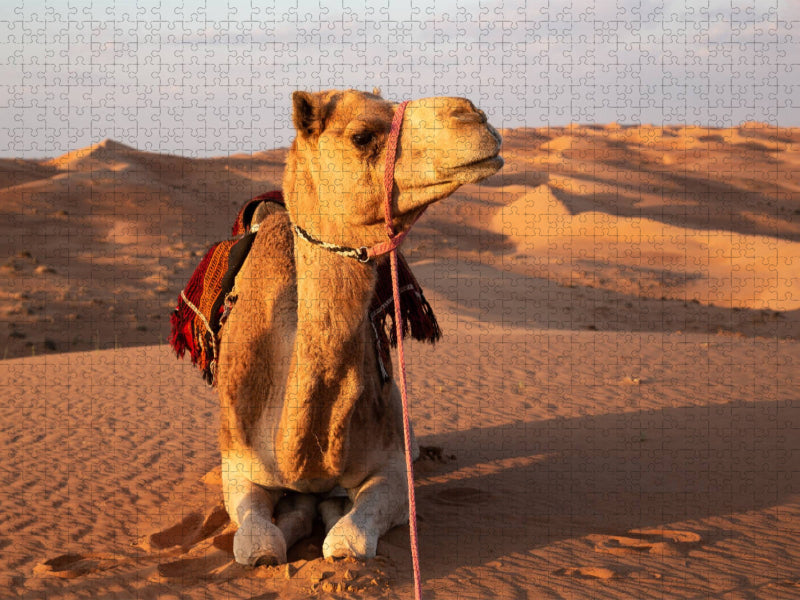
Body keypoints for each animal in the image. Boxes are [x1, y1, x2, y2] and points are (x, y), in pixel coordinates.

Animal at [215, 88, 503, 566]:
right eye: (362, 135)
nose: (473, 115)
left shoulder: (389, 467)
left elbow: (346, 543)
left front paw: (330, 515)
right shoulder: (238, 465)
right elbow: (260, 546)